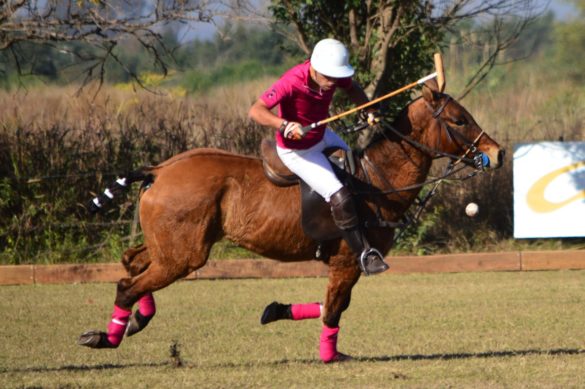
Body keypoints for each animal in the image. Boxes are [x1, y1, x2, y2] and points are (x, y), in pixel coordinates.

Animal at [80, 80, 504, 362]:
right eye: (459, 119)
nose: (497, 154)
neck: (377, 180)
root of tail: (159, 170)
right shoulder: (350, 260)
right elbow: (334, 307)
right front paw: (330, 356)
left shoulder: (341, 263)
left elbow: (331, 304)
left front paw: (275, 310)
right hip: (185, 254)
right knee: (127, 283)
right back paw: (107, 337)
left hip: (168, 244)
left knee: (132, 263)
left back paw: (136, 320)